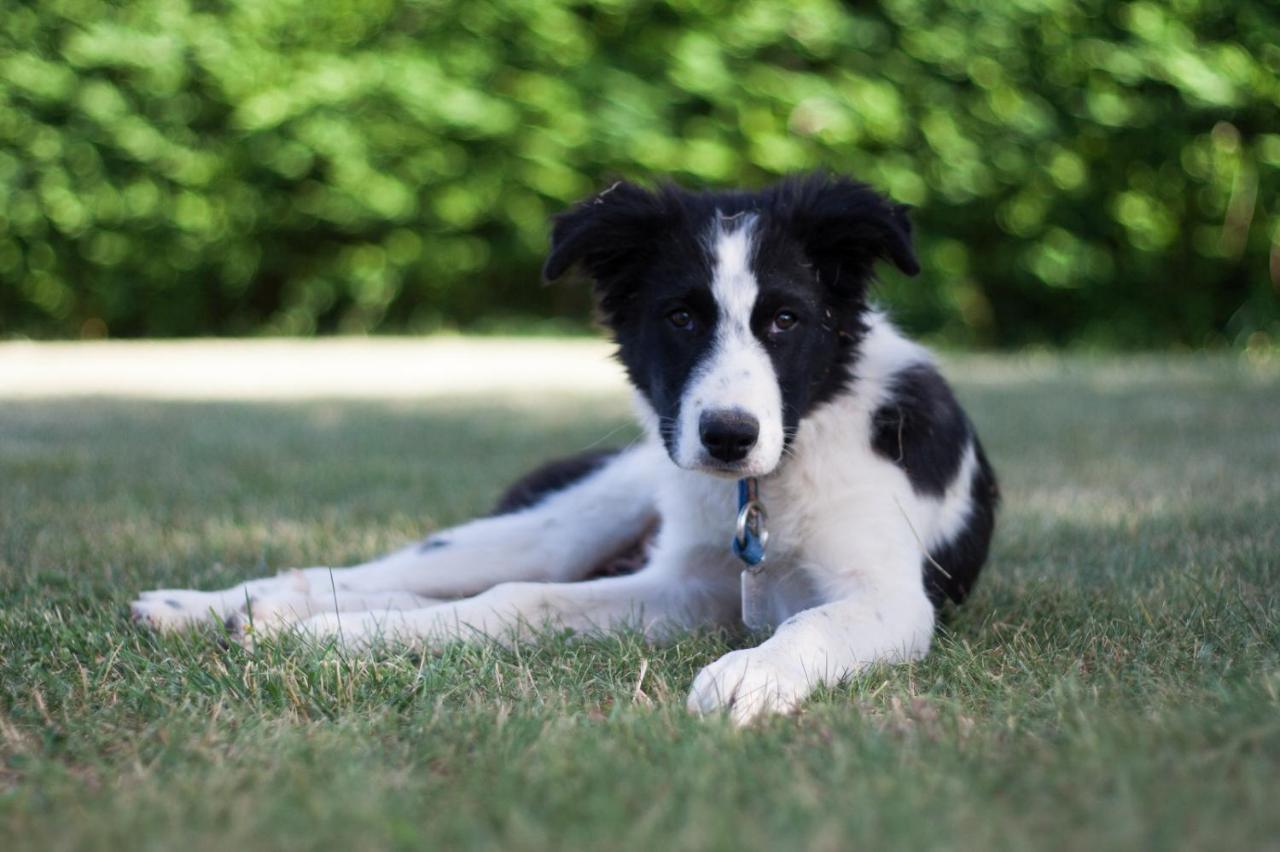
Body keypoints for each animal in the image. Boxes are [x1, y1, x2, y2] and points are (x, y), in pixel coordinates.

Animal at [129, 172, 998, 721]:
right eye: (682, 317)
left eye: (786, 319)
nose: (727, 436)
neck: (769, 488)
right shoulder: (686, 583)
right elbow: (521, 600)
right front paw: (335, 639)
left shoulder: (880, 598)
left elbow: (813, 624)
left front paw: (751, 673)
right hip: (568, 522)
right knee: (447, 569)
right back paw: (220, 607)